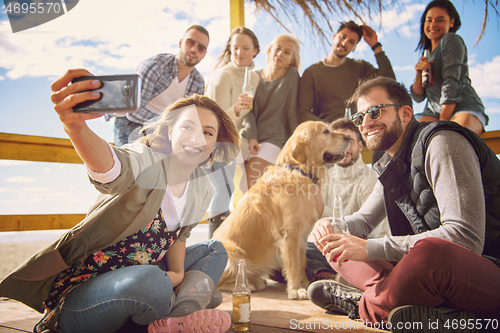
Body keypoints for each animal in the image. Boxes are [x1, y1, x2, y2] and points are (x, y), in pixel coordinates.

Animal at [213, 120, 350, 298]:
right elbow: (293, 264)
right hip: (232, 254)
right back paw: (246, 286)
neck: (299, 171)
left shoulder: (302, 234)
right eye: (325, 132)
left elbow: (302, 262)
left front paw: (305, 284)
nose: (348, 137)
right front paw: (296, 290)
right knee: (217, 284)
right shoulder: (290, 233)